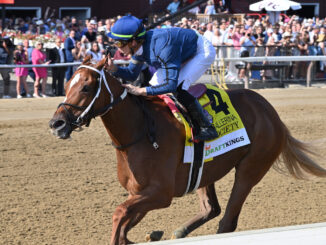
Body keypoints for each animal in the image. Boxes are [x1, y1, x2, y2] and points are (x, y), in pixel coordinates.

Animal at [48, 56, 326, 244]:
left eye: (86, 87)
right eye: (67, 84)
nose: (56, 123)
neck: (140, 131)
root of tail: (272, 114)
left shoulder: (161, 193)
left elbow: (120, 214)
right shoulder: (139, 192)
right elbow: (126, 223)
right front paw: (151, 234)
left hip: (251, 168)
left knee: (227, 220)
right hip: (204, 170)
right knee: (211, 208)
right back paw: (179, 231)